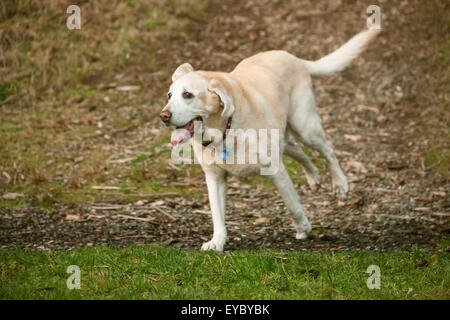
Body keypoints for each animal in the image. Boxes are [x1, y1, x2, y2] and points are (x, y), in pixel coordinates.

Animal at [160, 28, 378, 251]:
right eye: (169, 95)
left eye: (188, 94)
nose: (163, 116)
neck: (225, 129)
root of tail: (293, 57)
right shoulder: (215, 178)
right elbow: (217, 215)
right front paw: (217, 242)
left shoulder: (275, 169)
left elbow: (292, 204)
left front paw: (303, 228)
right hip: (284, 134)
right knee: (296, 149)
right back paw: (313, 176)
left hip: (305, 126)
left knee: (327, 150)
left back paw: (340, 183)